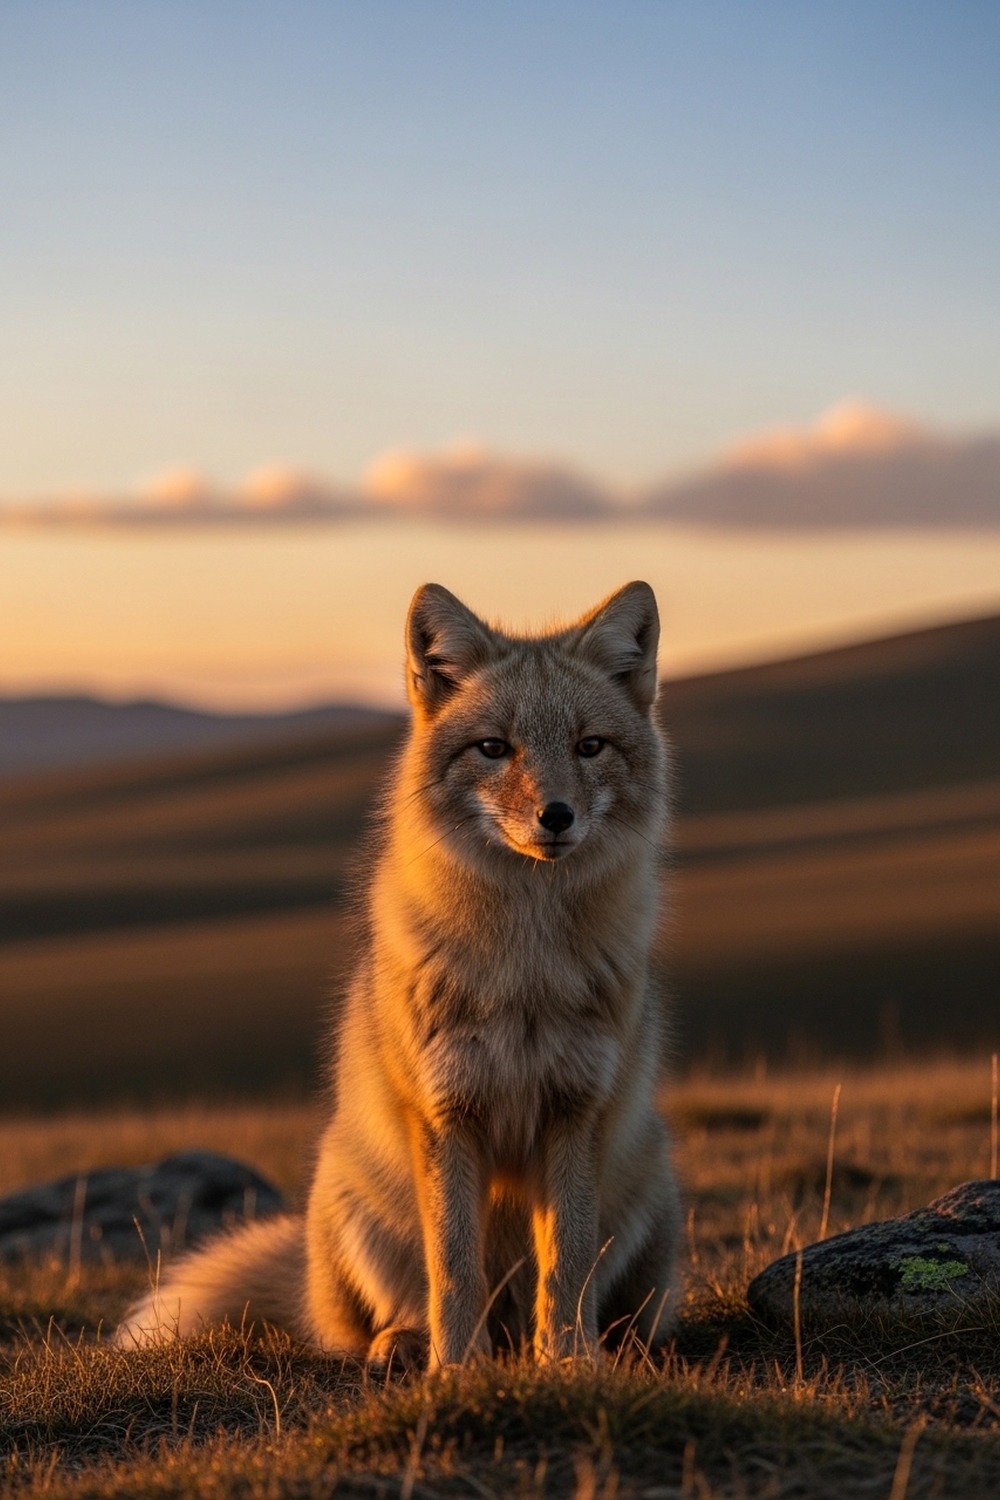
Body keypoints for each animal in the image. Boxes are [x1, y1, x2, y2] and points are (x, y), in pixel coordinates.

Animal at [116, 580, 681, 1369]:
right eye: (494, 748)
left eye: (589, 746)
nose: (556, 816)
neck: (526, 972)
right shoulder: (445, 1112)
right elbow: (454, 1265)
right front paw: (458, 1370)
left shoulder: (577, 1109)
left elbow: (566, 1264)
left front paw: (570, 1364)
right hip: (353, 1194)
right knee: (374, 1318)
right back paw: (408, 1344)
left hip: (650, 1180)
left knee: (607, 1306)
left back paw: (604, 1348)